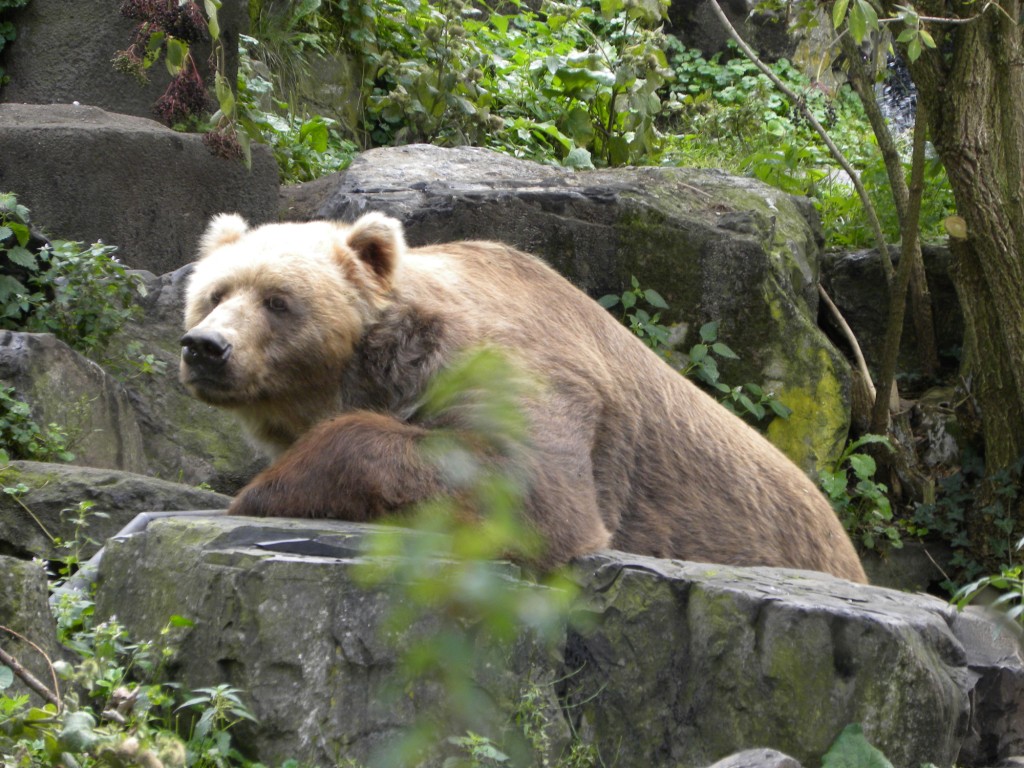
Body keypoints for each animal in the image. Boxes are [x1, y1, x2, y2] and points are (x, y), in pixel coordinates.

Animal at [180, 210, 868, 581]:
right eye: (216, 292)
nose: (206, 347)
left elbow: (531, 490)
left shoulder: (519, 369)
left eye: (277, 300)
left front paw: (261, 490)